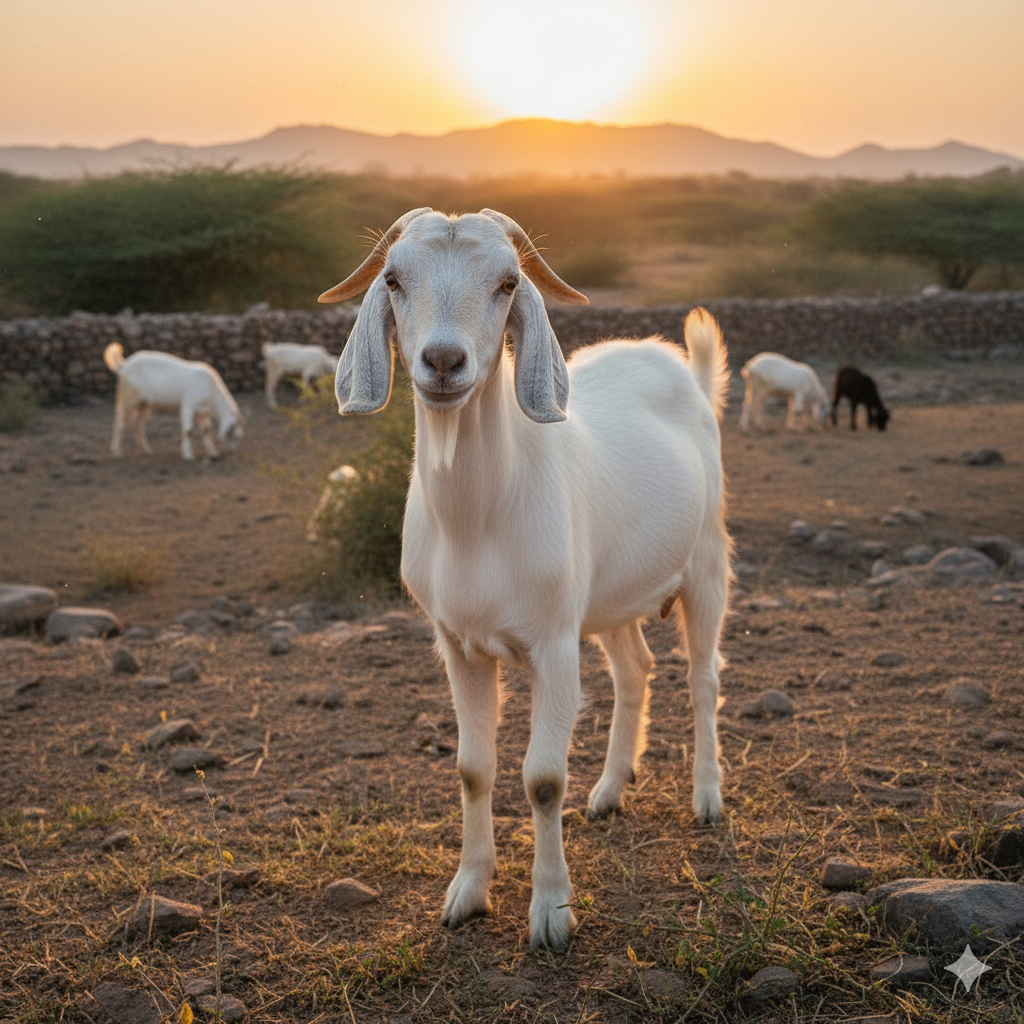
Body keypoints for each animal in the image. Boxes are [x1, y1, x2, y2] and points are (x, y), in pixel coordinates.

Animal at [103, 343, 243, 460]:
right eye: (231, 433)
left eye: (237, 435)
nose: (231, 451)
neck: (211, 389)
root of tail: (124, 365)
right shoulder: (188, 406)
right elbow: (188, 431)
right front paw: (188, 456)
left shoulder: (201, 412)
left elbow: (206, 431)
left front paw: (213, 453)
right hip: (128, 398)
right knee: (120, 423)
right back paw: (117, 453)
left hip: (144, 403)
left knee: (137, 424)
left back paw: (147, 450)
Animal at [319, 208, 732, 951]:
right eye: (393, 279)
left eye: (508, 283)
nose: (443, 361)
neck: (478, 524)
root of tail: (681, 366)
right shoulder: (458, 645)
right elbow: (472, 768)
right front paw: (467, 892)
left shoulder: (553, 645)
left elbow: (541, 780)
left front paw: (550, 913)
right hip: (609, 596)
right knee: (636, 669)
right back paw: (609, 792)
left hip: (708, 560)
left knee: (702, 676)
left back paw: (707, 798)